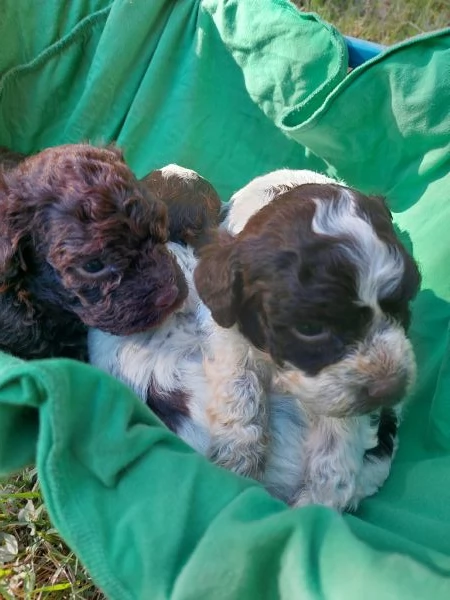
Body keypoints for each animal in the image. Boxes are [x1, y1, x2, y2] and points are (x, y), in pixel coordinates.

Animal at [194, 170, 422, 510]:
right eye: (310, 328)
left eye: (402, 305)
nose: (390, 389)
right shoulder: (227, 325)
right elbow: (240, 383)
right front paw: (238, 457)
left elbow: (340, 439)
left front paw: (319, 500)